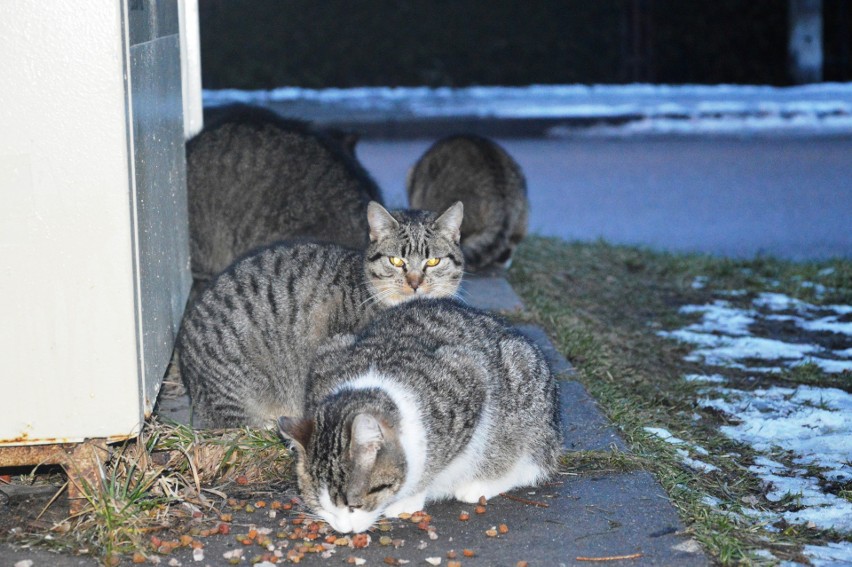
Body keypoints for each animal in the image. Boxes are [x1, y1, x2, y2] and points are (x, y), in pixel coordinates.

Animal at [276, 300, 564, 536]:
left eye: (355, 504)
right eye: (320, 505)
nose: (344, 529)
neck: (371, 382)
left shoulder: (470, 377)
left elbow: (432, 464)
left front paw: (411, 496)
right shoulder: (328, 353)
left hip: (526, 398)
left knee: (527, 465)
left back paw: (480, 484)